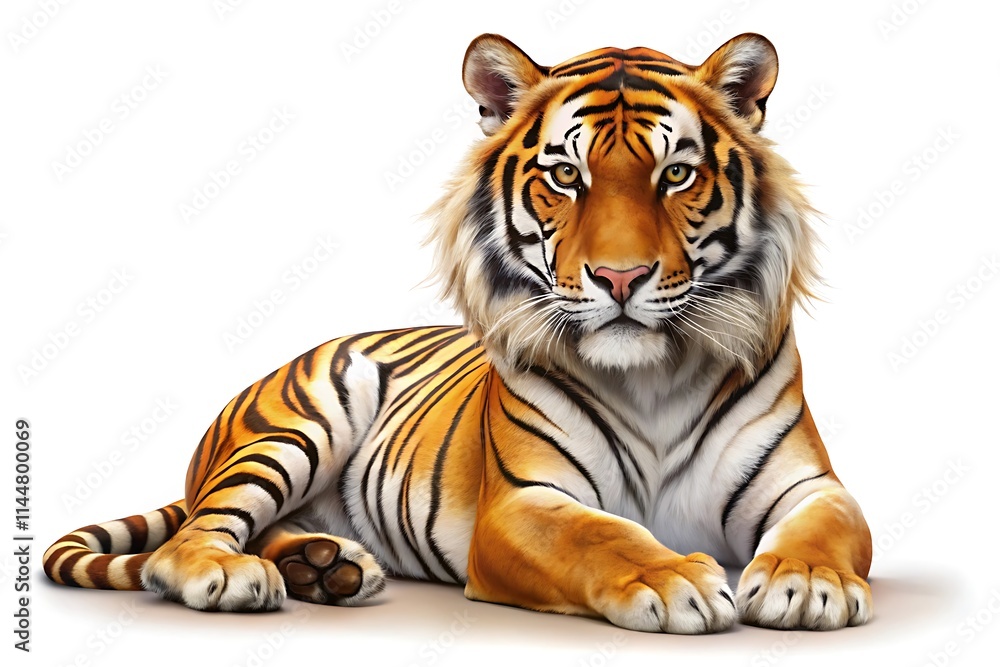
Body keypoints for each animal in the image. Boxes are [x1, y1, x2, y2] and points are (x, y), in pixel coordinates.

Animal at [43, 32, 873, 634]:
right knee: (193, 538)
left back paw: (325, 564)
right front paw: (671, 578)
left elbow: (829, 530)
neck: (650, 377)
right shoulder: (524, 502)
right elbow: (602, 534)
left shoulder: (808, 485)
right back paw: (235, 573)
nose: (621, 277)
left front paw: (807, 582)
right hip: (295, 425)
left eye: (676, 175)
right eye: (567, 177)